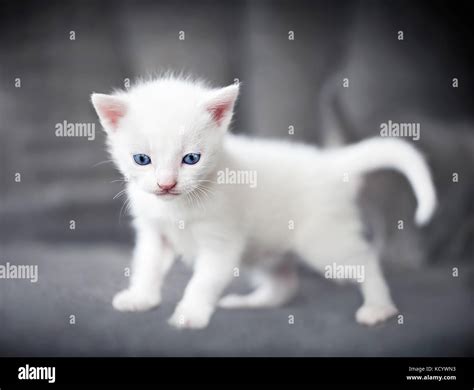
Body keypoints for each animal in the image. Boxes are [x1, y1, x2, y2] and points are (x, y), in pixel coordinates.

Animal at [90, 75, 436, 330]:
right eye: (141, 159)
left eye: (191, 159)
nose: (166, 184)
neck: (179, 206)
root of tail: (330, 163)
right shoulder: (154, 233)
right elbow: (146, 266)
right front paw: (141, 298)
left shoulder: (221, 242)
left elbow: (204, 281)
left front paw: (191, 313)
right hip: (268, 249)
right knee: (285, 284)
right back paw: (249, 303)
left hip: (324, 242)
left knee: (366, 261)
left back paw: (379, 306)